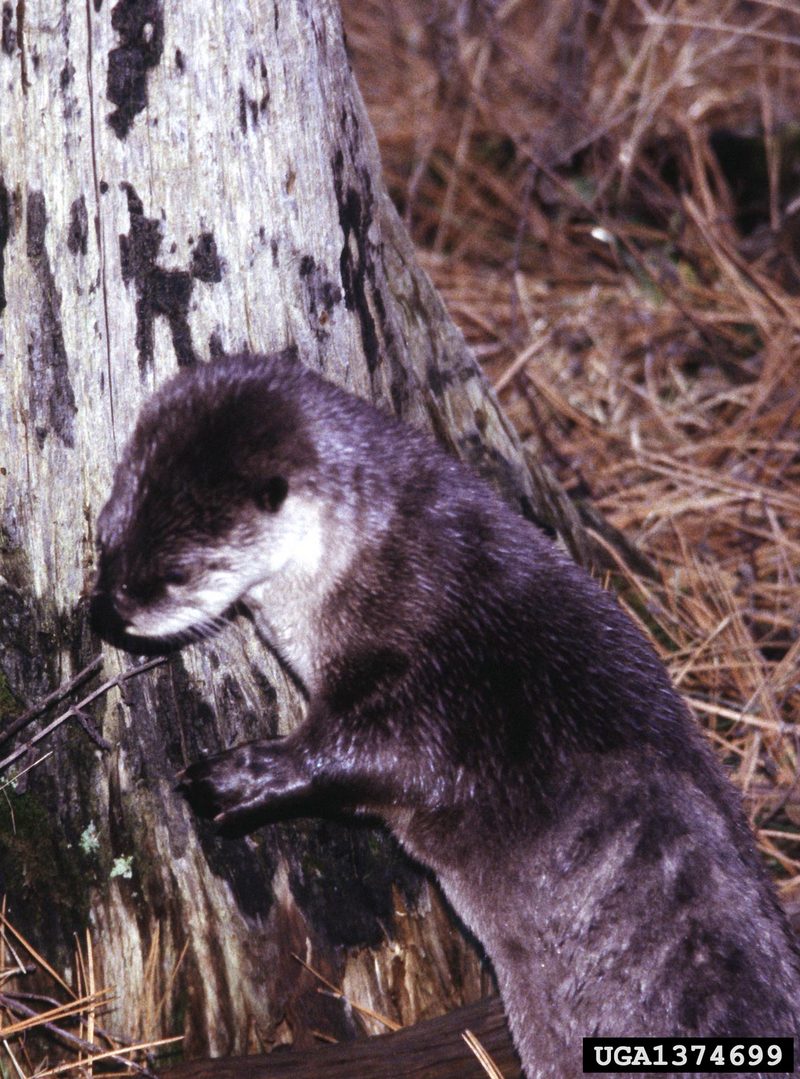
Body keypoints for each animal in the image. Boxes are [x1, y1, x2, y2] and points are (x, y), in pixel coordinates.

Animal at [89, 349, 798, 1074]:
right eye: (104, 535)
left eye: (176, 573)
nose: (111, 610)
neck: (380, 564)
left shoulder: (435, 684)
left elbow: (371, 759)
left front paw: (240, 777)